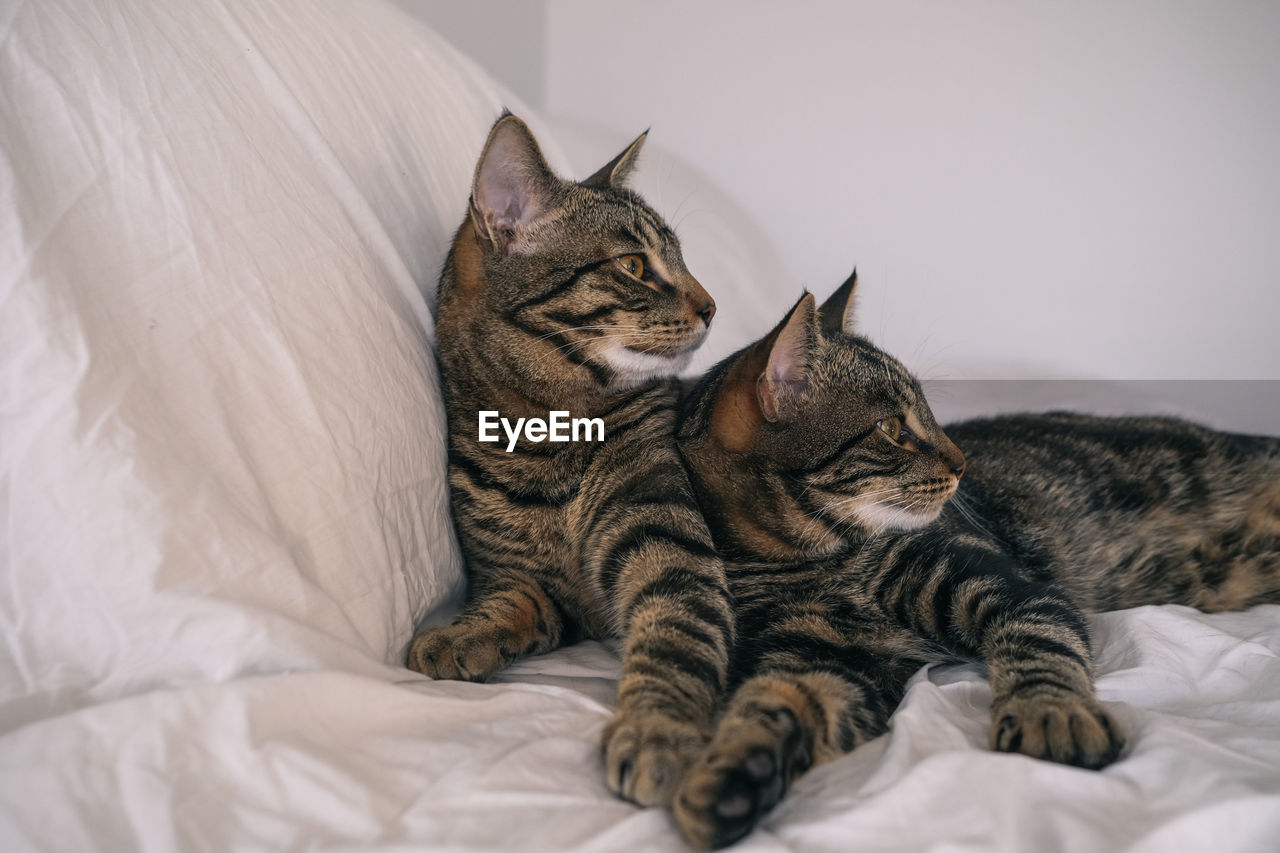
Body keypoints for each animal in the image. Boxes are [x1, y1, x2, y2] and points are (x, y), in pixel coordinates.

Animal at [404, 116, 737, 809]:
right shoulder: (520, 579)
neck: (547, 441)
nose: (712, 304)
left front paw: (657, 729)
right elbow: (507, 604)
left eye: (683, 258)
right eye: (634, 265)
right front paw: (460, 636)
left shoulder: (672, 553)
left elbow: (676, 639)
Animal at [670, 272, 1280, 845]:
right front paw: (731, 777)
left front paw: (1050, 712)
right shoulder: (822, 659)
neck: (807, 561)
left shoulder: (1010, 587)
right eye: (892, 428)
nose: (962, 461)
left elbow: (1040, 648)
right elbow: (776, 705)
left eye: (931, 414)